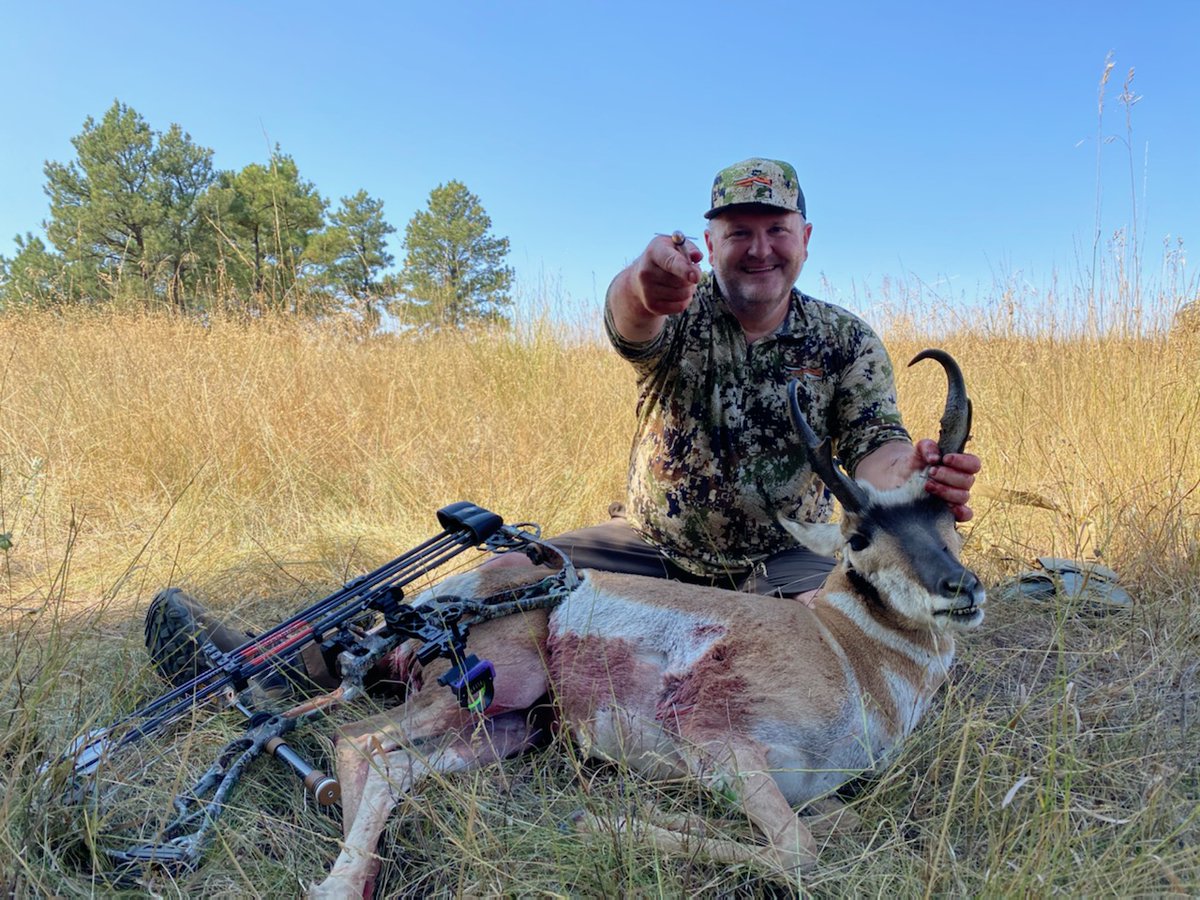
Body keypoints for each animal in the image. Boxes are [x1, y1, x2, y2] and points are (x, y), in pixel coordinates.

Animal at [309, 350, 984, 898]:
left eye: (948, 512)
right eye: (858, 538)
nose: (962, 589)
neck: (842, 648)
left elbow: (835, 822)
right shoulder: (724, 749)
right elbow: (798, 852)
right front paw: (600, 820)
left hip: (509, 727)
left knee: (397, 765)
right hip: (492, 691)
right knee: (357, 740)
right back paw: (340, 885)